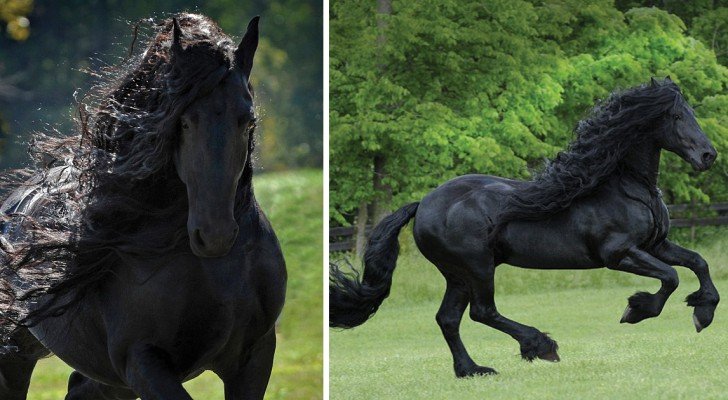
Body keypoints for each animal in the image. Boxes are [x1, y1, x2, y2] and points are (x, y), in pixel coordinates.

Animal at [0, 13, 286, 399]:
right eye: (184, 121)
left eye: (248, 121)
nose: (215, 234)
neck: (218, 273)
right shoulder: (141, 361)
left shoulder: (254, 357)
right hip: (15, 358)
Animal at [330, 77, 720, 377]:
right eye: (675, 115)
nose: (708, 156)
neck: (625, 187)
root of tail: (423, 205)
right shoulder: (619, 254)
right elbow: (670, 277)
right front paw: (636, 310)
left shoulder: (656, 245)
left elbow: (698, 262)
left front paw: (702, 312)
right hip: (477, 267)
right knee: (482, 312)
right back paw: (541, 345)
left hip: (457, 275)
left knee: (448, 319)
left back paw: (472, 370)